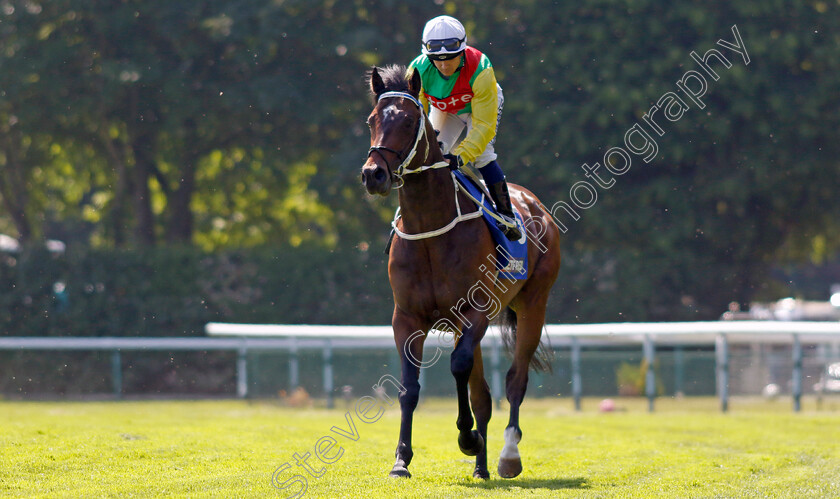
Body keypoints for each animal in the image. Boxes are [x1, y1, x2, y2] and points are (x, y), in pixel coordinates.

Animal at [360, 64, 560, 478]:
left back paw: (507, 455)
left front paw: (467, 438)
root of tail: (536, 205)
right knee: (481, 393)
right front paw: (401, 459)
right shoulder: (408, 317)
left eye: (408, 121)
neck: (430, 228)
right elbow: (410, 387)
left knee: (515, 381)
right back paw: (481, 468)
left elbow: (458, 368)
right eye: (372, 120)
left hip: (533, 304)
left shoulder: (473, 311)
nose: (374, 174)